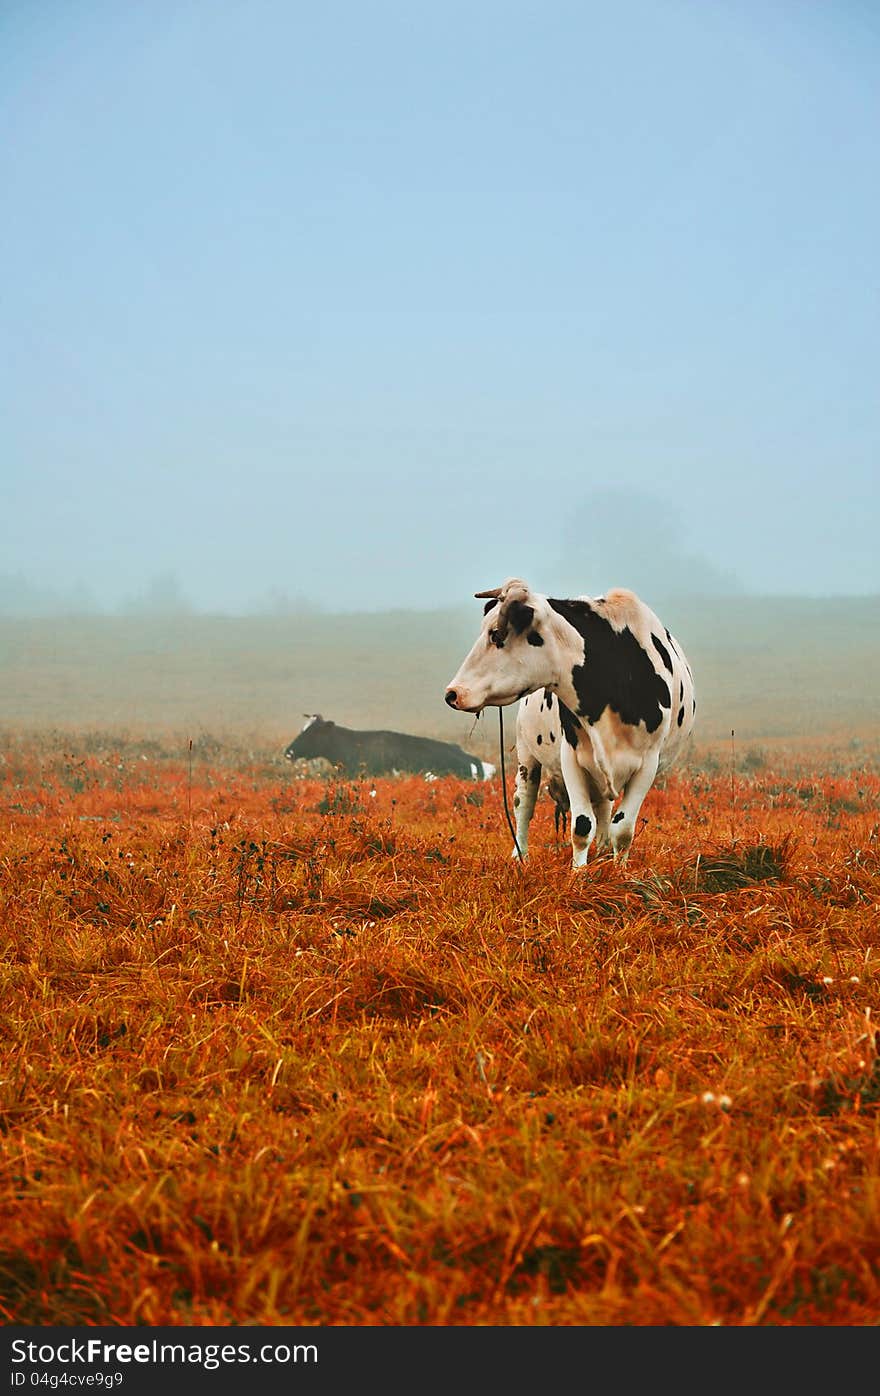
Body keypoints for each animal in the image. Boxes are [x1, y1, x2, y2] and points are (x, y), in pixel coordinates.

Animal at [446, 575, 695, 859]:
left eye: (496, 634)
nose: (453, 693)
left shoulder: (648, 763)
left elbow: (622, 830)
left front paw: (617, 867)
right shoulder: (571, 757)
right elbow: (582, 826)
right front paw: (580, 870)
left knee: (604, 809)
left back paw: (602, 850)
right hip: (526, 752)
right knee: (524, 803)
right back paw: (520, 854)